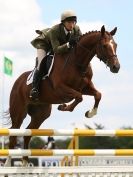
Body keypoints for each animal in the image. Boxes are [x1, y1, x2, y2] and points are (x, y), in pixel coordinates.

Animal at [4, 25, 120, 167]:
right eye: (104, 46)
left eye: (115, 45)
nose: (116, 67)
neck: (77, 62)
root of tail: (17, 81)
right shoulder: (61, 89)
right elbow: (79, 97)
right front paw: (64, 107)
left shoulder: (85, 88)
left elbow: (98, 95)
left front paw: (90, 113)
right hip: (19, 112)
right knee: (13, 134)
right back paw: (8, 164)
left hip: (40, 114)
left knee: (27, 133)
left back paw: (25, 162)